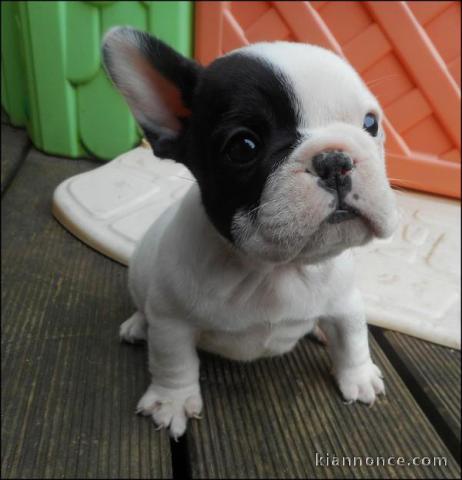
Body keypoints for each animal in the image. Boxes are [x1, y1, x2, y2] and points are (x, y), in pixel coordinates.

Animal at [101, 26, 398, 438]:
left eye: (370, 125)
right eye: (244, 147)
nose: (335, 160)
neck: (275, 269)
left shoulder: (347, 303)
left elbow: (353, 339)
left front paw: (359, 376)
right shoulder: (172, 324)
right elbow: (173, 362)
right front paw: (172, 400)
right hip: (142, 277)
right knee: (146, 311)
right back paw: (136, 325)